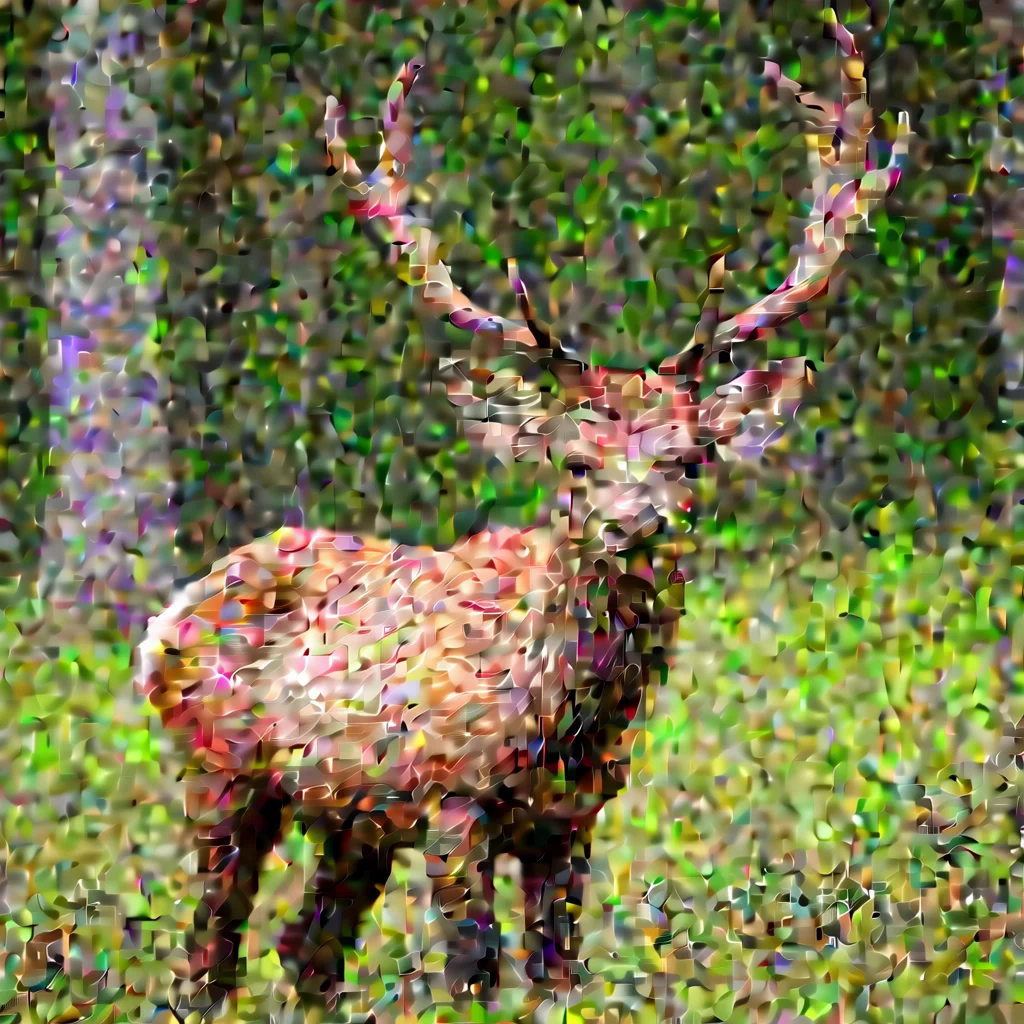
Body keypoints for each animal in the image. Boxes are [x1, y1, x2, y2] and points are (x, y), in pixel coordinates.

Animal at [139, 10, 909, 1021]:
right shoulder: (449, 796)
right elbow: (474, 971)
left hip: (351, 823)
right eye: (574, 461)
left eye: (689, 455)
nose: (635, 527)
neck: (556, 722)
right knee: (207, 958)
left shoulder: (570, 821)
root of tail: (164, 620)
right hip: (222, 779)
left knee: (307, 952)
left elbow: (559, 975)